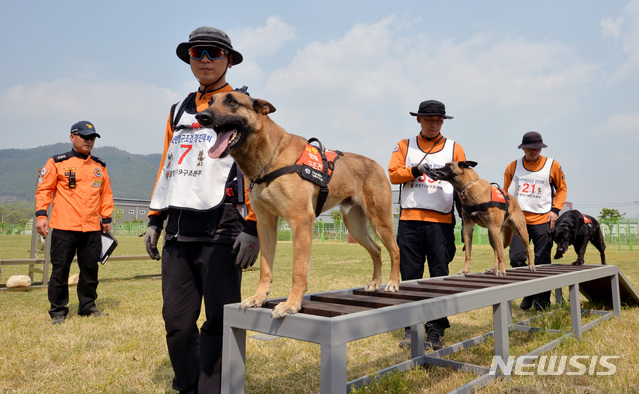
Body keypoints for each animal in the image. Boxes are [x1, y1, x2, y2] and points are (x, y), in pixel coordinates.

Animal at [198, 91, 402, 318]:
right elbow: (265, 267)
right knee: (377, 250)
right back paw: (375, 282)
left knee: (395, 250)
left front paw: (291, 304)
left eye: (232, 101)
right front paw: (259, 297)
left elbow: (299, 269)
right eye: (210, 101)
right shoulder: (265, 224)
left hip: (380, 222)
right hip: (355, 227)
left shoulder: (301, 220)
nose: (201, 116)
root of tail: (377, 164)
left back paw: (393, 283)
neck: (272, 156)